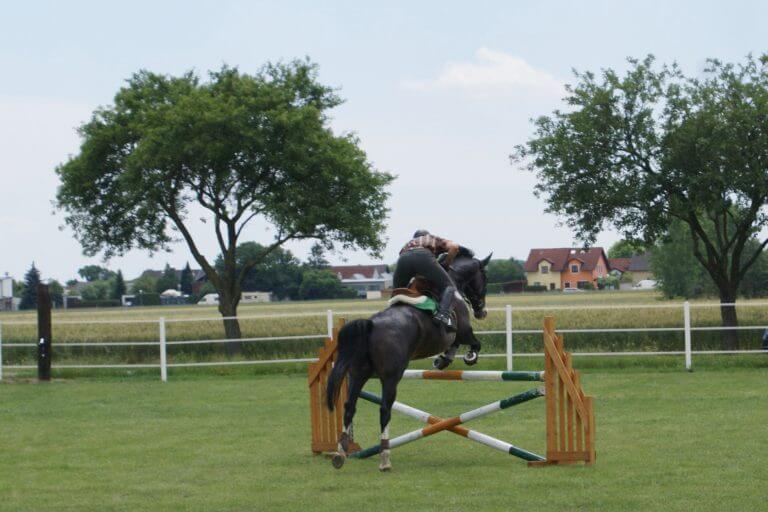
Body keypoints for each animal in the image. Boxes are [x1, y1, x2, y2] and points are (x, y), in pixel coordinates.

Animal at [326, 250, 492, 470]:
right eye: (485, 278)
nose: (482, 311)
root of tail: (371, 324)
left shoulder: (453, 336)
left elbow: (452, 347)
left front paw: (443, 361)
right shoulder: (463, 331)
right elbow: (473, 343)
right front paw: (469, 356)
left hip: (357, 375)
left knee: (349, 407)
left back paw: (341, 452)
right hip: (391, 377)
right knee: (384, 410)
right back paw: (385, 458)